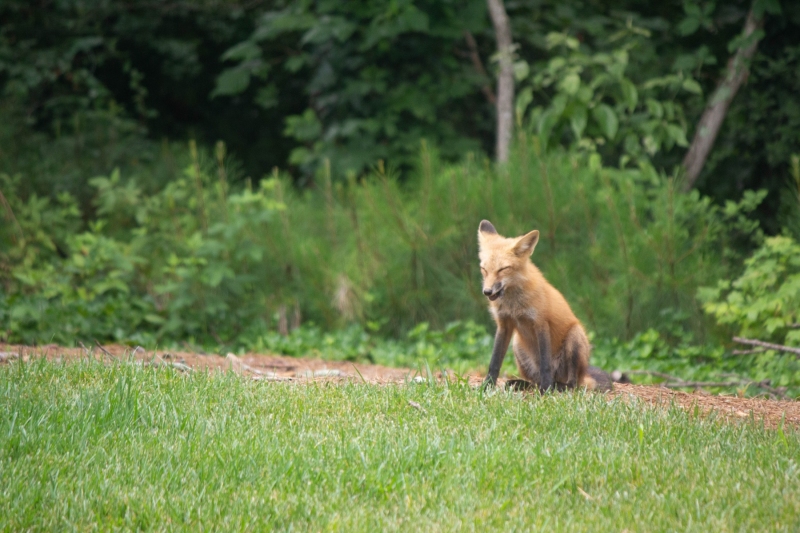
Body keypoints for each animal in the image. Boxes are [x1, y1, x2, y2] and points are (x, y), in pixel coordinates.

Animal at [477, 220, 612, 392]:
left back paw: (557, 386)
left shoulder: (541, 323)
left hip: (575, 337)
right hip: (517, 344)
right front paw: (487, 386)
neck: (513, 304)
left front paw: (546, 391)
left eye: (503, 269)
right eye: (484, 269)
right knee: (535, 380)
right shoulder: (504, 324)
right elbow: (494, 362)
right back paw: (523, 384)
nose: (487, 291)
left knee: (572, 383)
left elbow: (545, 364)